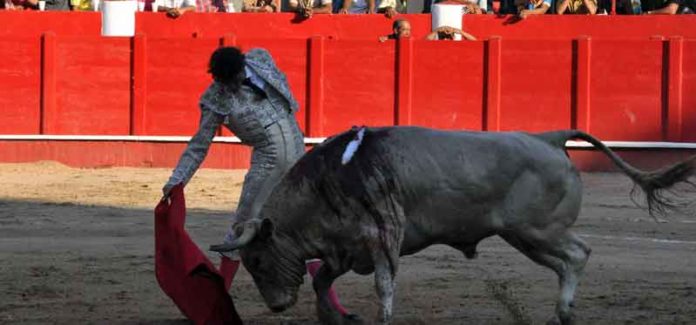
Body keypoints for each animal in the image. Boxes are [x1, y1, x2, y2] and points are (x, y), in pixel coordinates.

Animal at [209, 126, 692, 324]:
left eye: (256, 259)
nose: (276, 307)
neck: (330, 179)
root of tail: (549, 138)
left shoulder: (382, 237)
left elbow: (384, 284)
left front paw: (382, 317)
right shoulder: (344, 249)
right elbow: (321, 279)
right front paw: (334, 317)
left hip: (538, 230)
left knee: (578, 254)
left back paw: (565, 311)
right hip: (525, 236)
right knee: (565, 262)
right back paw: (560, 312)